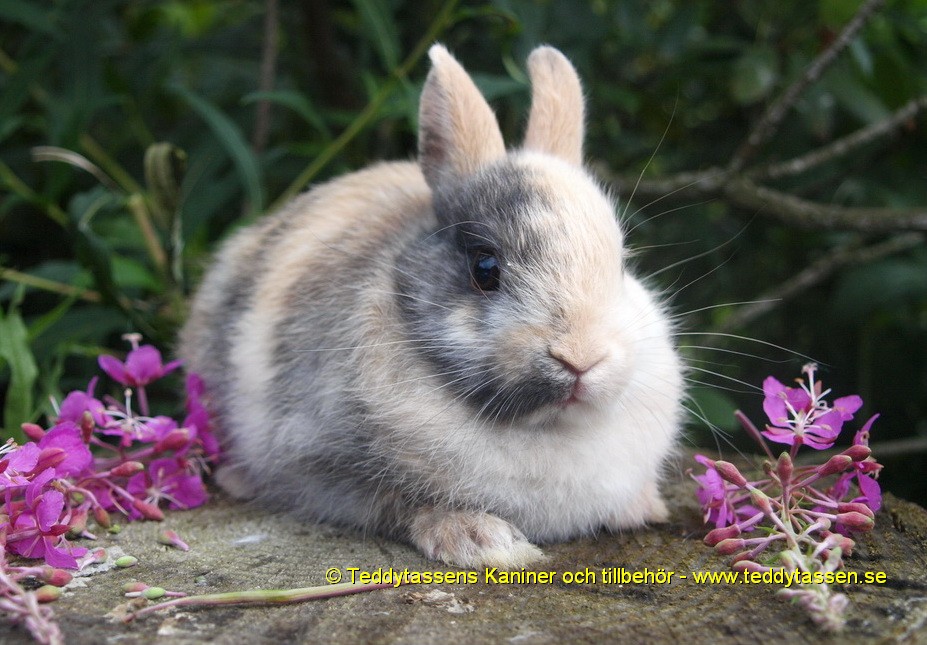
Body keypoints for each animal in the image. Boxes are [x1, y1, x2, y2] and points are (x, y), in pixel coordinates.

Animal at [181, 44, 684, 568]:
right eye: (486, 269)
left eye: (622, 263)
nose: (581, 358)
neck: (547, 427)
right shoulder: (327, 466)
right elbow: (403, 504)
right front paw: (485, 542)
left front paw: (644, 507)